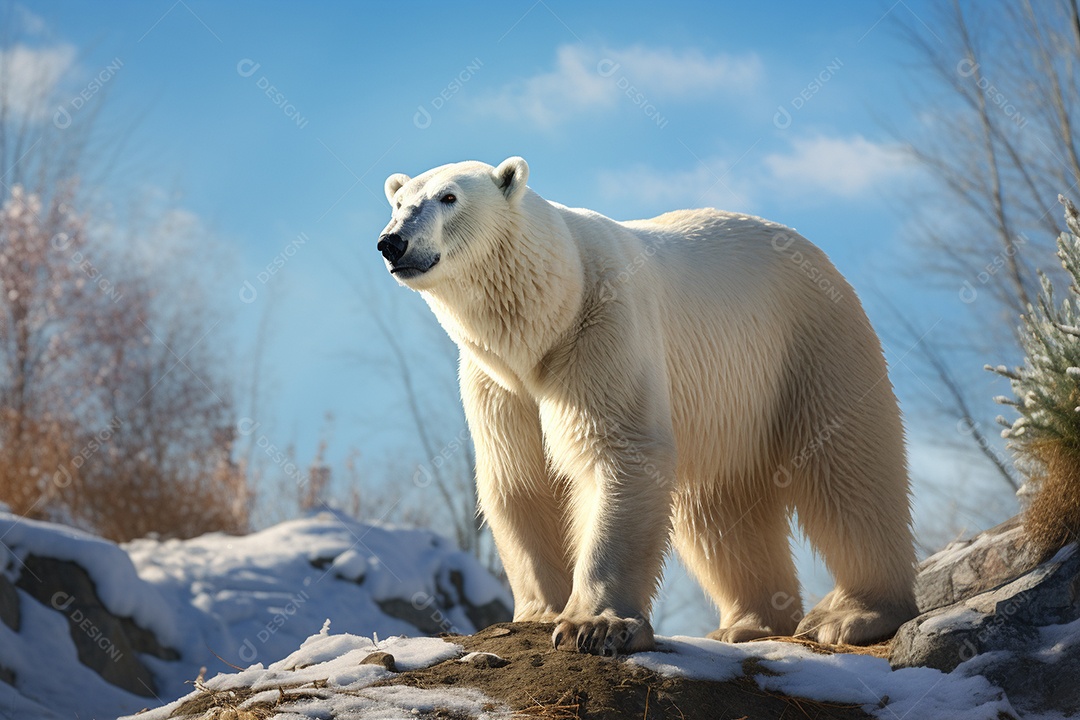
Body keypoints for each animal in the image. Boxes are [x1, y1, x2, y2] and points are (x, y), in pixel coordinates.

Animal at [377, 156, 917, 655]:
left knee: (849, 469)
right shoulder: (498, 384)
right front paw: (540, 612)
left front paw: (594, 625)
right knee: (719, 509)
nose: (392, 242)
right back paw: (747, 624)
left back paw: (853, 614)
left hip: (810, 341)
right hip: (727, 404)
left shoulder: (603, 329)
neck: (550, 314)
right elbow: (519, 479)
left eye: (448, 197)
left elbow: (620, 452)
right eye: (398, 203)